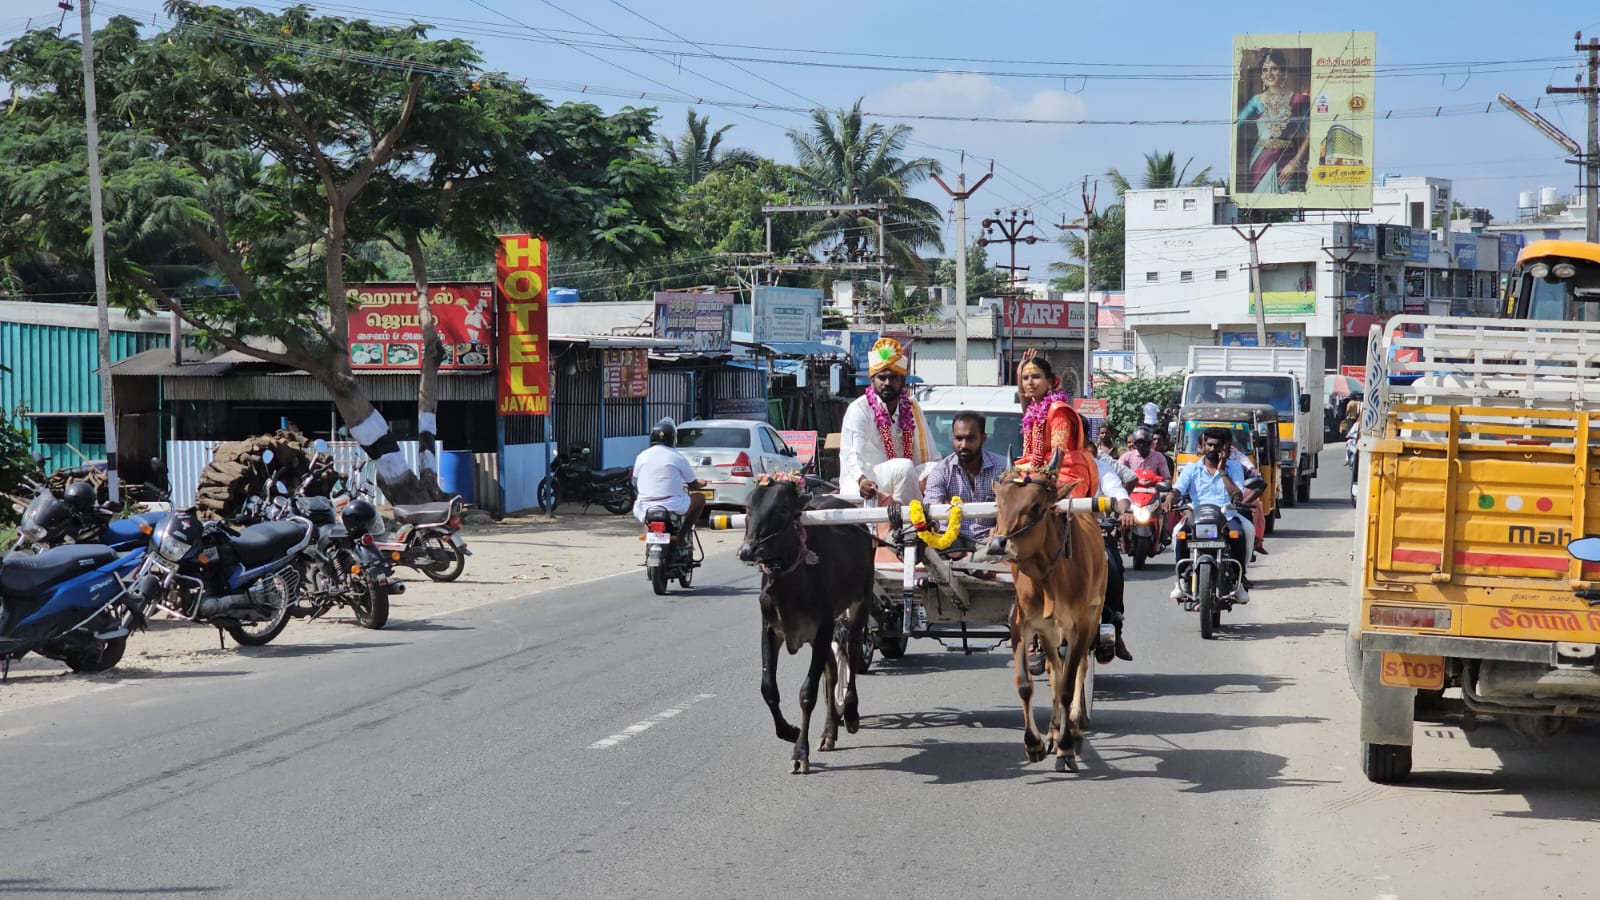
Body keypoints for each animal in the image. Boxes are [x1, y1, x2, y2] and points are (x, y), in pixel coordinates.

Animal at [736, 483, 876, 771]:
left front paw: (801, 752)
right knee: (833, 670)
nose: (747, 550)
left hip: (861, 603)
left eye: (782, 509)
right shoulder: (770, 630)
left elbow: (807, 693)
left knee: (852, 651)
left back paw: (851, 713)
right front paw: (790, 731)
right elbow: (768, 688)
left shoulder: (822, 628)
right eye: (747, 508)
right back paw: (829, 731)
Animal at [979, 448, 1107, 771]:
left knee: (1077, 669)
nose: (997, 545)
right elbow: (1026, 684)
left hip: (1093, 616)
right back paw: (1053, 729)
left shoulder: (1080, 625)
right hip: (1049, 633)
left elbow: (1068, 685)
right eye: (999, 504)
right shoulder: (1022, 624)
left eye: (1036, 507)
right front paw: (1034, 743)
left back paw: (1073, 727)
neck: (1048, 575)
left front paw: (1065, 746)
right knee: (1054, 671)